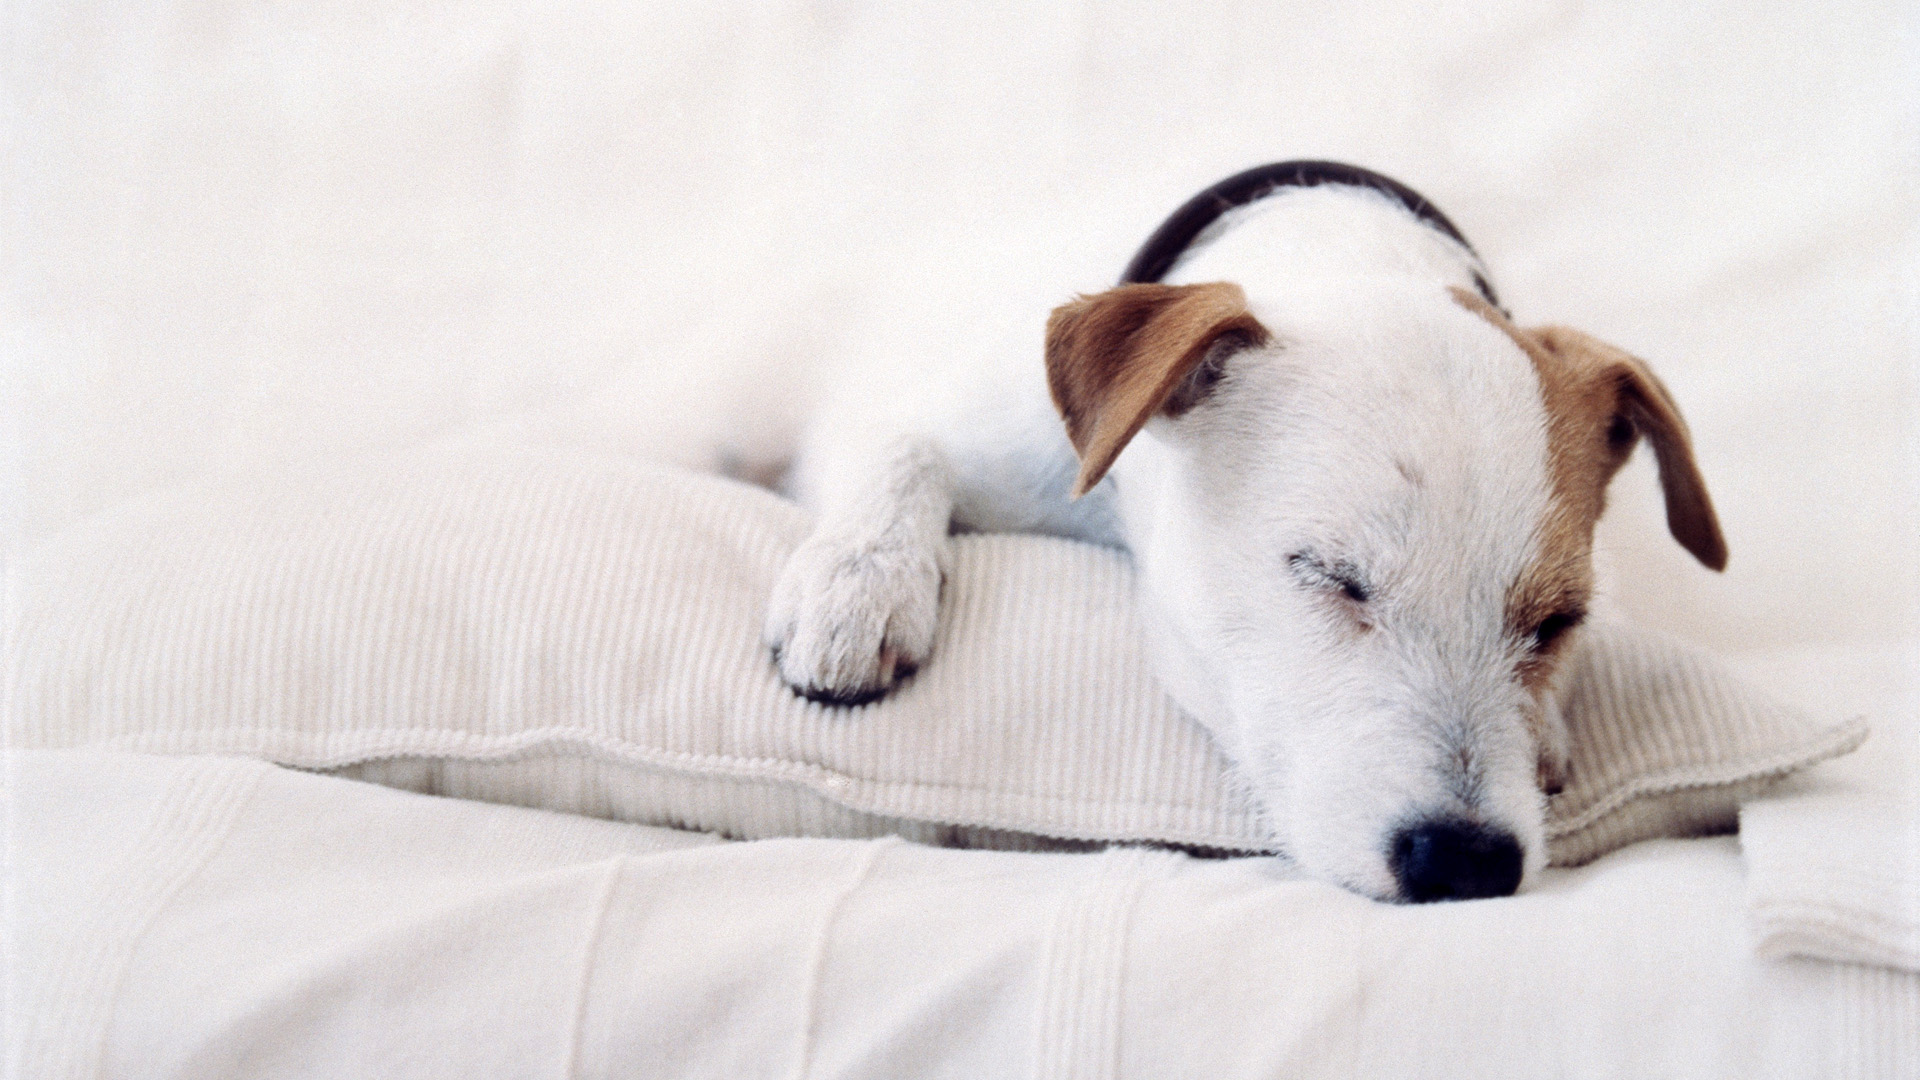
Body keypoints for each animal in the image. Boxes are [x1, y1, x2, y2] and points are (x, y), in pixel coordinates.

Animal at [760, 161, 1728, 899]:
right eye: (1330, 575)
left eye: (1559, 621)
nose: (1466, 863)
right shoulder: (919, 424)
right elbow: (903, 449)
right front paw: (856, 579)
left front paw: (1550, 728)